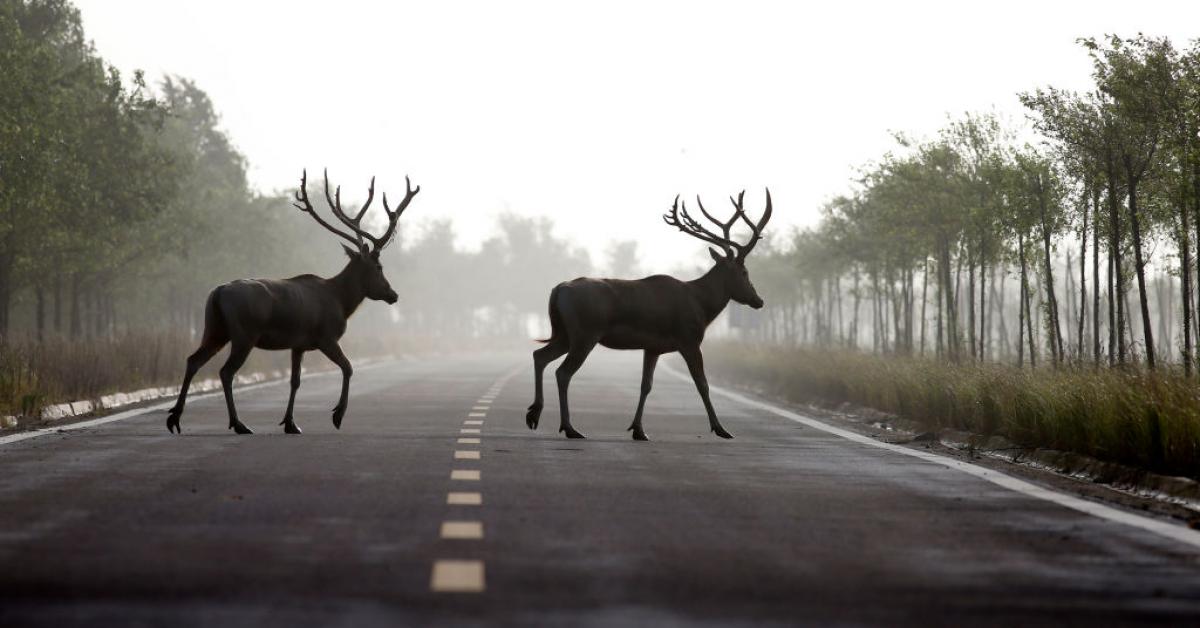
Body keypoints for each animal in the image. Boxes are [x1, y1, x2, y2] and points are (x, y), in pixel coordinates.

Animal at [164, 169, 419, 435]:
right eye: (379, 267)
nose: (393, 294)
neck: (342, 302)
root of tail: (218, 292)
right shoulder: (326, 337)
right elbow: (348, 367)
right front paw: (337, 415)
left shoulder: (298, 345)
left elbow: (295, 381)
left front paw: (290, 422)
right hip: (244, 334)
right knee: (226, 371)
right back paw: (238, 423)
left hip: (214, 327)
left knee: (193, 360)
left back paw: (175, 418)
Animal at [525, 189, 772, 441]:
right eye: (744, 272)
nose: (759, 300)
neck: (702, 307)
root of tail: (558, 290)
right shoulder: (689, 340)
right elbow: (702, 383)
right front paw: (721, 429)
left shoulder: (652, 347)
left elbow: (646, 385)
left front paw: (638, 429)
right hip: (585, 334)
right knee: (563, 372)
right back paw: (569, 427)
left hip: (565, 334)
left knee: (540, 355)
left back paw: (534, 415)